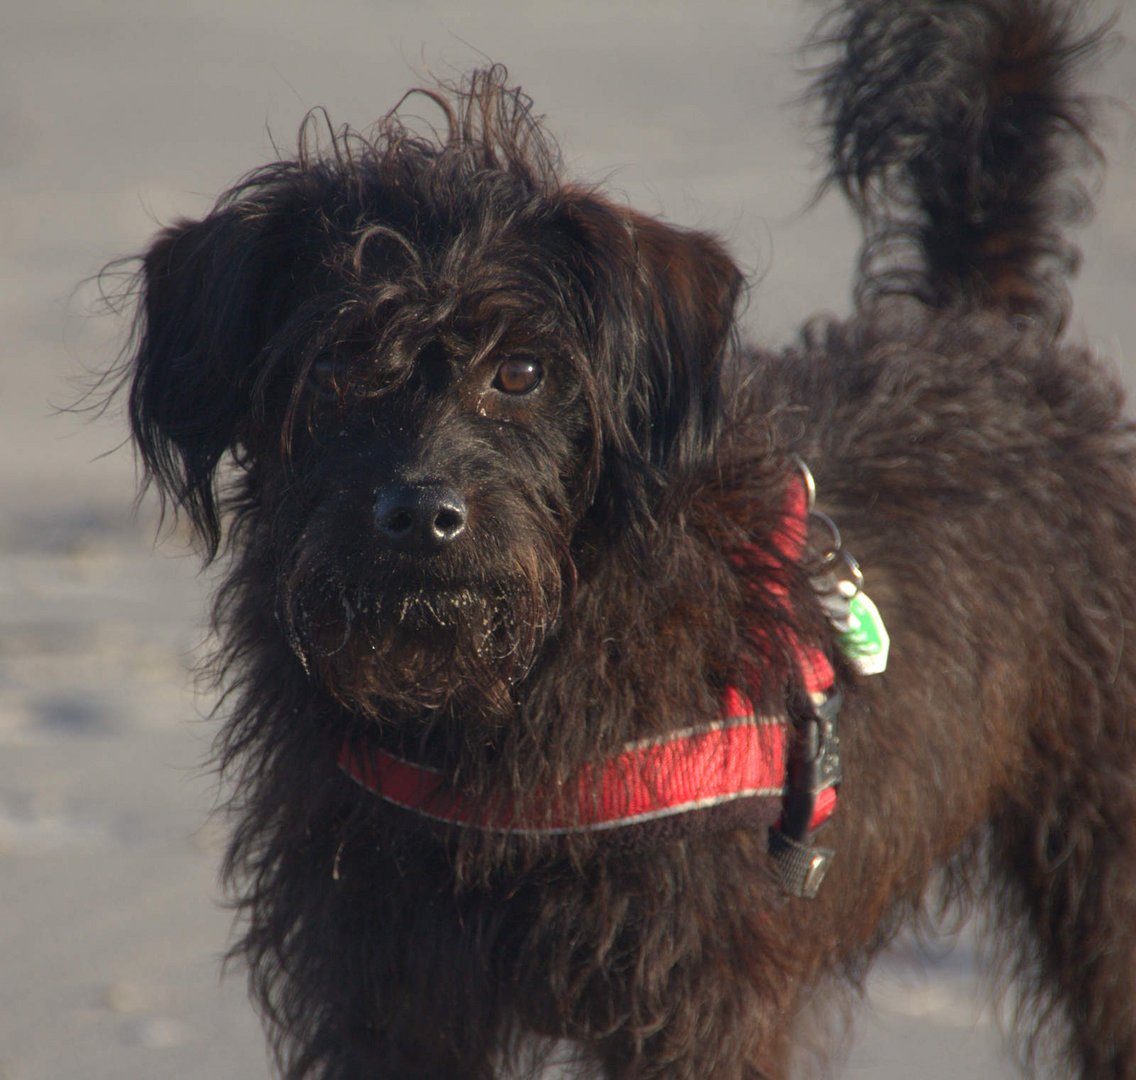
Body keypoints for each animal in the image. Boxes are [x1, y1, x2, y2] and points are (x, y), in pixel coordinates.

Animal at [106, 2, 1136, 1080]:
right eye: (337, 367)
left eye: (520, 371)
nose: (421, 514)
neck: (490, 707)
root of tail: (988, 330)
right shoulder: (382, 988)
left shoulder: (693, 1003)